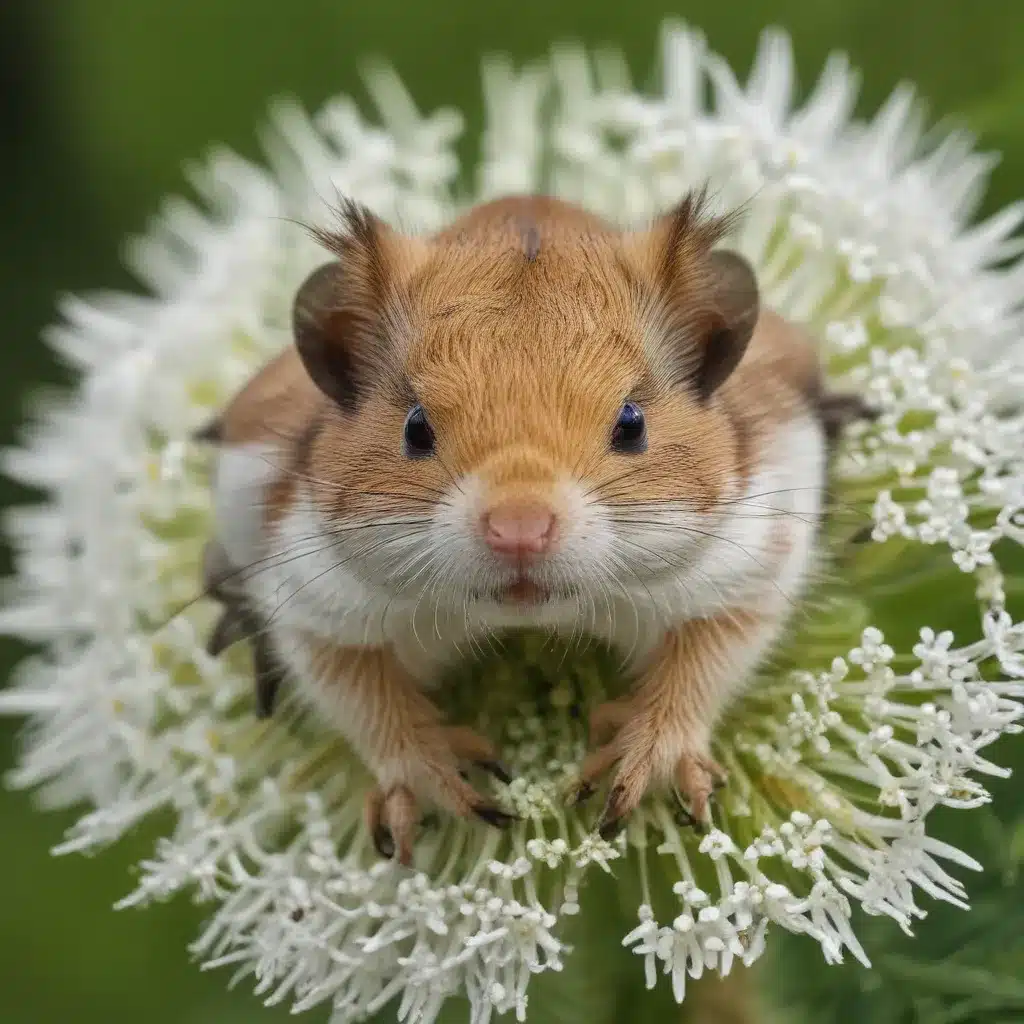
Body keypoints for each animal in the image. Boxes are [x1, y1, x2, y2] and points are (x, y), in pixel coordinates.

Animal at [195, 192, 868, 864]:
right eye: (416, 428)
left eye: (631, 423)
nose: (518, 530)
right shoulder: (318, 602)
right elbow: (370, 703)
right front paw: (444, 792)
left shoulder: (747, 562)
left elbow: (701, 666)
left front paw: (635, 775)